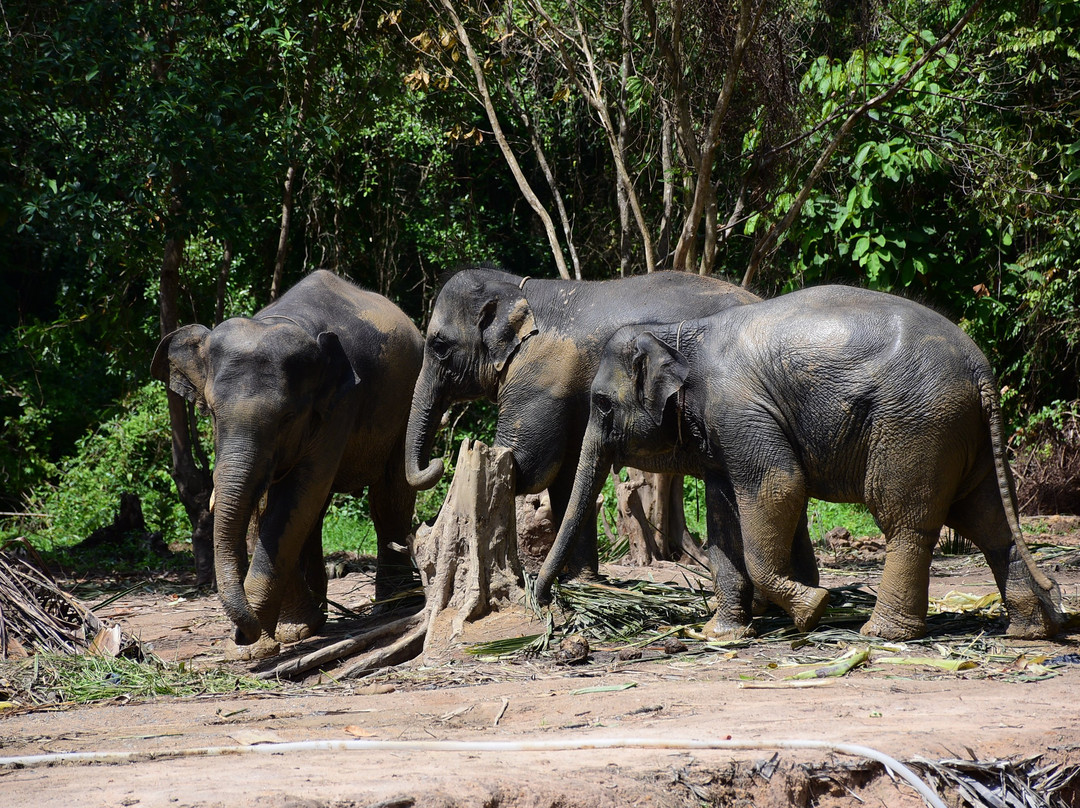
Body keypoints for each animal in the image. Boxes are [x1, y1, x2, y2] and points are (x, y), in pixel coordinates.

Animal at [152, 267, 421, 652]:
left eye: (287, 418)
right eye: (213, 414)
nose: (241, 634)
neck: (280, 321)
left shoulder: (340, 405)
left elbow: (295, 497)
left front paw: (256, 645)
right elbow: (274, 506)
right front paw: (285, 635)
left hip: (408, 402)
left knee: (389, 496)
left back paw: (393, 607)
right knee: (317, 514)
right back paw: (315, 620)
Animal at [406, 266, 816, 591]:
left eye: (439, 346)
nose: (436, 462)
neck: (518, 287)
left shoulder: (540, 381)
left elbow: (528, 466)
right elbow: (569, 475)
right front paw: (582, 580)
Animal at [535, 287, 1058, 639]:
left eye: (601, 404)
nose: (549, 606)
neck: (675, 336)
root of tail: (980, 369)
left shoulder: (738, 409)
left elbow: (778, 487)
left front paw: (813, 608)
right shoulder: (721, 434)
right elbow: (724, 522)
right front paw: (722, 633)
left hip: (918, 427)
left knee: (906, 522)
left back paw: (881, 634)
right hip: (965, 435)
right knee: (989, 519)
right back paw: (1029, 630)